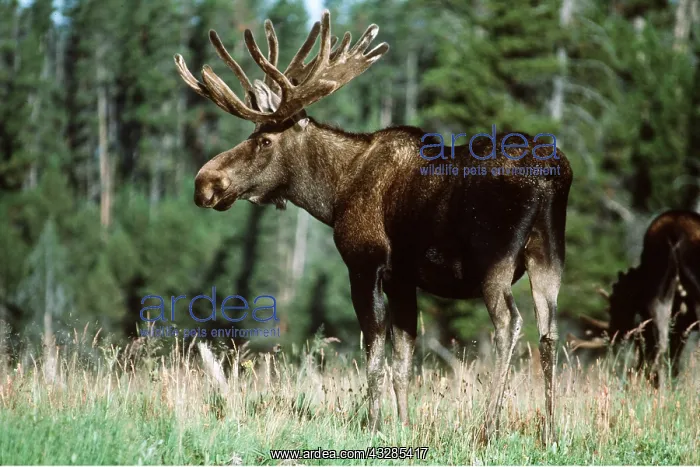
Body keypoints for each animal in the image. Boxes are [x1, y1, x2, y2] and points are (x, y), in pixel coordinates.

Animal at [173, 9, 573, 443]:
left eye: (263, 140)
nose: (204, 182)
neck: (333, 194)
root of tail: (550, 176)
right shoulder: (403, 278)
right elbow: (403, 361)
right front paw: (403, 425)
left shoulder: (364, 263)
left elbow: (374, 358)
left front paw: (375, 426)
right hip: (549, 255)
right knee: (550, 330)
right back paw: (551, 430)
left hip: (494, 263)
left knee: (509, 324)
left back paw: (487, 428)